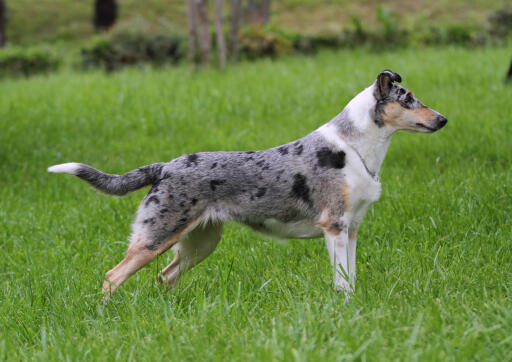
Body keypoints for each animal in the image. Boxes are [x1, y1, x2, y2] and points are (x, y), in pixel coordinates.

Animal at [49, 70, 448, 296]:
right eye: (409, 100)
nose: (443, 120)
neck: (354, 148)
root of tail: (165, 167)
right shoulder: (334, 227)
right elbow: (341, 282)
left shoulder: (351, 229)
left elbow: (350, 277)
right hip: (157, 236)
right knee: (112, 276)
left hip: (200, 242)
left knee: (165, 276)